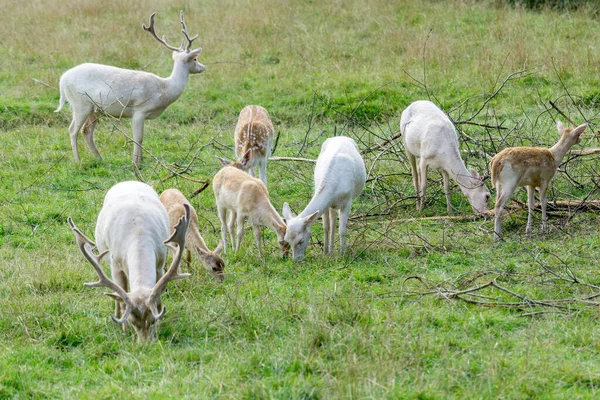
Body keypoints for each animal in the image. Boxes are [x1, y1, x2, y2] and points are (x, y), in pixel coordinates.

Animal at [54, 11, 204, 164]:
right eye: (195, 59)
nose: (203, 67)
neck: (164, 89)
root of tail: (62, 80)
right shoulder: (140, 110)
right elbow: (138, 138)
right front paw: (136, 162)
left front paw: (140, 160)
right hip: (80, 104)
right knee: (73, 130)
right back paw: (78, 161)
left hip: (95, 110)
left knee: (86, 130)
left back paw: (99, 158)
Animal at [67, 180, 190, 342]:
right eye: (132, 321)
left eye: (152, 320)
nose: (145, 344)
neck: (138, 233)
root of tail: (129, 181)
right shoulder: (115, 265)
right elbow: (123, 298)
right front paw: (124, 330)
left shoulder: (160, 263)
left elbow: (158, 298)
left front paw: (159, 326)